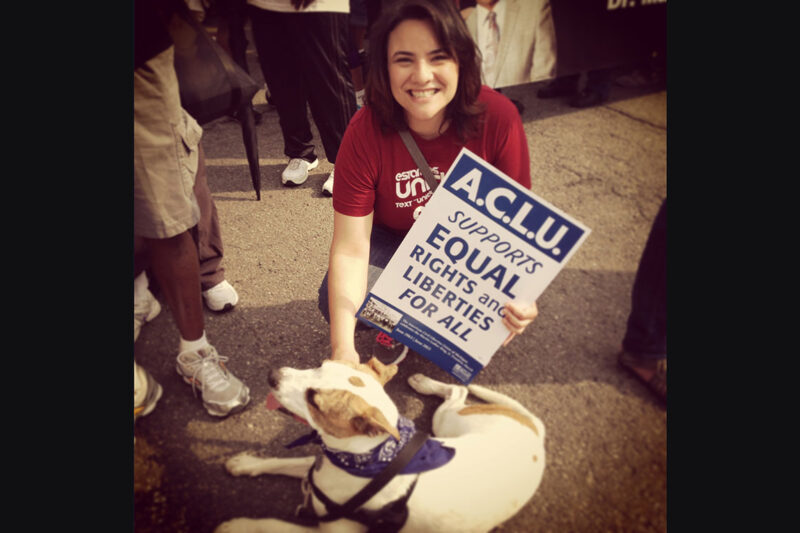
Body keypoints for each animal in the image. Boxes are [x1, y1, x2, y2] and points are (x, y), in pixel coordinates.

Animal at [216, 358, 548, 532]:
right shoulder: (321, 465)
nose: (272, 374)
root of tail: (536, 434)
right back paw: (423, 382)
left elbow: (272, 524)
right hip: (446, 425)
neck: (371, 458)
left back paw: (426, 383)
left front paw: (237, 525)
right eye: (321, 364)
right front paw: (247, 463)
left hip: (447, 420)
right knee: (458, 391)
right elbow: (283, 461)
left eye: (315, 401)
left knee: (459, 390)